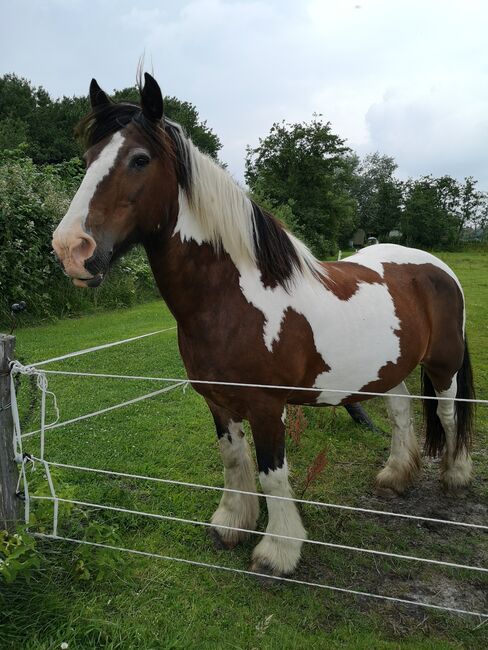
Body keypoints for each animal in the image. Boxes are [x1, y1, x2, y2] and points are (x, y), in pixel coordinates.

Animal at [51, 73, 474, 576]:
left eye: (139, 159)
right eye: (88, 159)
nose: (71, 248)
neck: (233, 301)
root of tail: (437, 268)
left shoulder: (268, 406)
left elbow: (273, 475)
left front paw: (278, 550)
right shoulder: (218, 402)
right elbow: (234, 460)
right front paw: (232, 524)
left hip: (443, 364)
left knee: (447, 414)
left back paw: (455, 476)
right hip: (389, 368)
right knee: (401, 412)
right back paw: (394, 475)